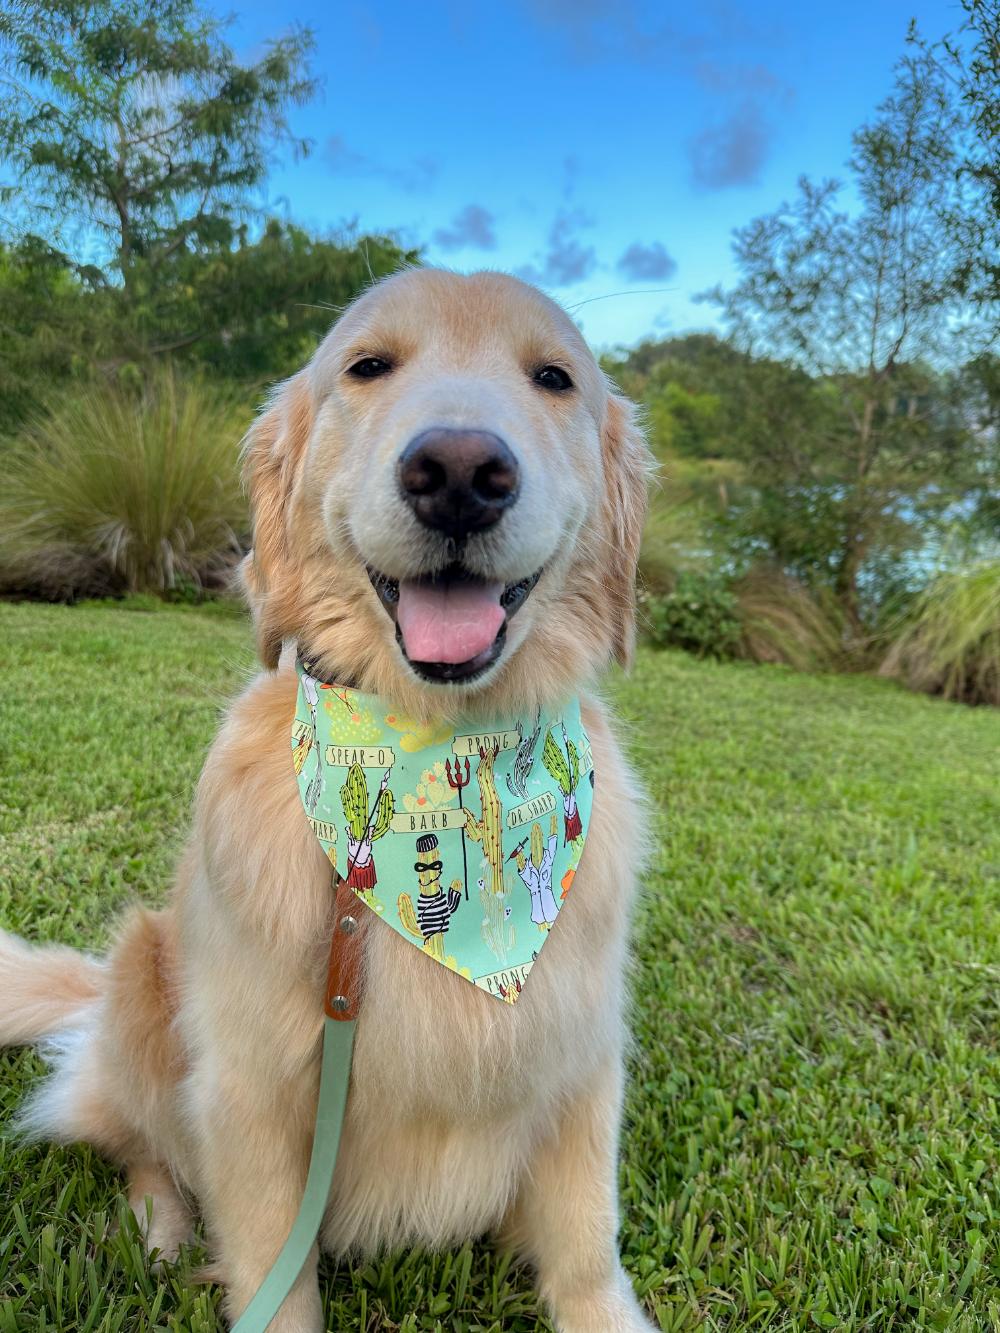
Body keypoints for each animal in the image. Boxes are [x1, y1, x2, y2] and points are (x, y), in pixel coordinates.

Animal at [0, 270, 653, 1333]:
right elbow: (275, 1271)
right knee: (134, 1139)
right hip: (144, 977)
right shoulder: (253, 1090)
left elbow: (588, 1244)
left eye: (555, 377)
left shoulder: (579, 1059)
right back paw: (159, 1224)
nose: (459, 470)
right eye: (368, 365)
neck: (431, 743)